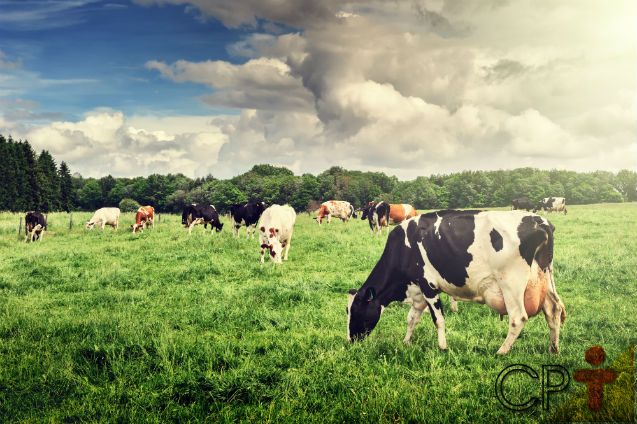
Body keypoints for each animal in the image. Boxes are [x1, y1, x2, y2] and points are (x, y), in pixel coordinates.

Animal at [348, 210, 568, 354]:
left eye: (356, 310)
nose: (350, 340)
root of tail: (539, 220)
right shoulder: (418, 290)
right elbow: (412, 319)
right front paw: (406, 342)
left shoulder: (428, 286)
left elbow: (438, 319)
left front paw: (442, 347)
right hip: (543, 276)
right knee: (553, 309)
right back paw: (554, 348)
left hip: (511, 283)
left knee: (518, 317)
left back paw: (501, 351)